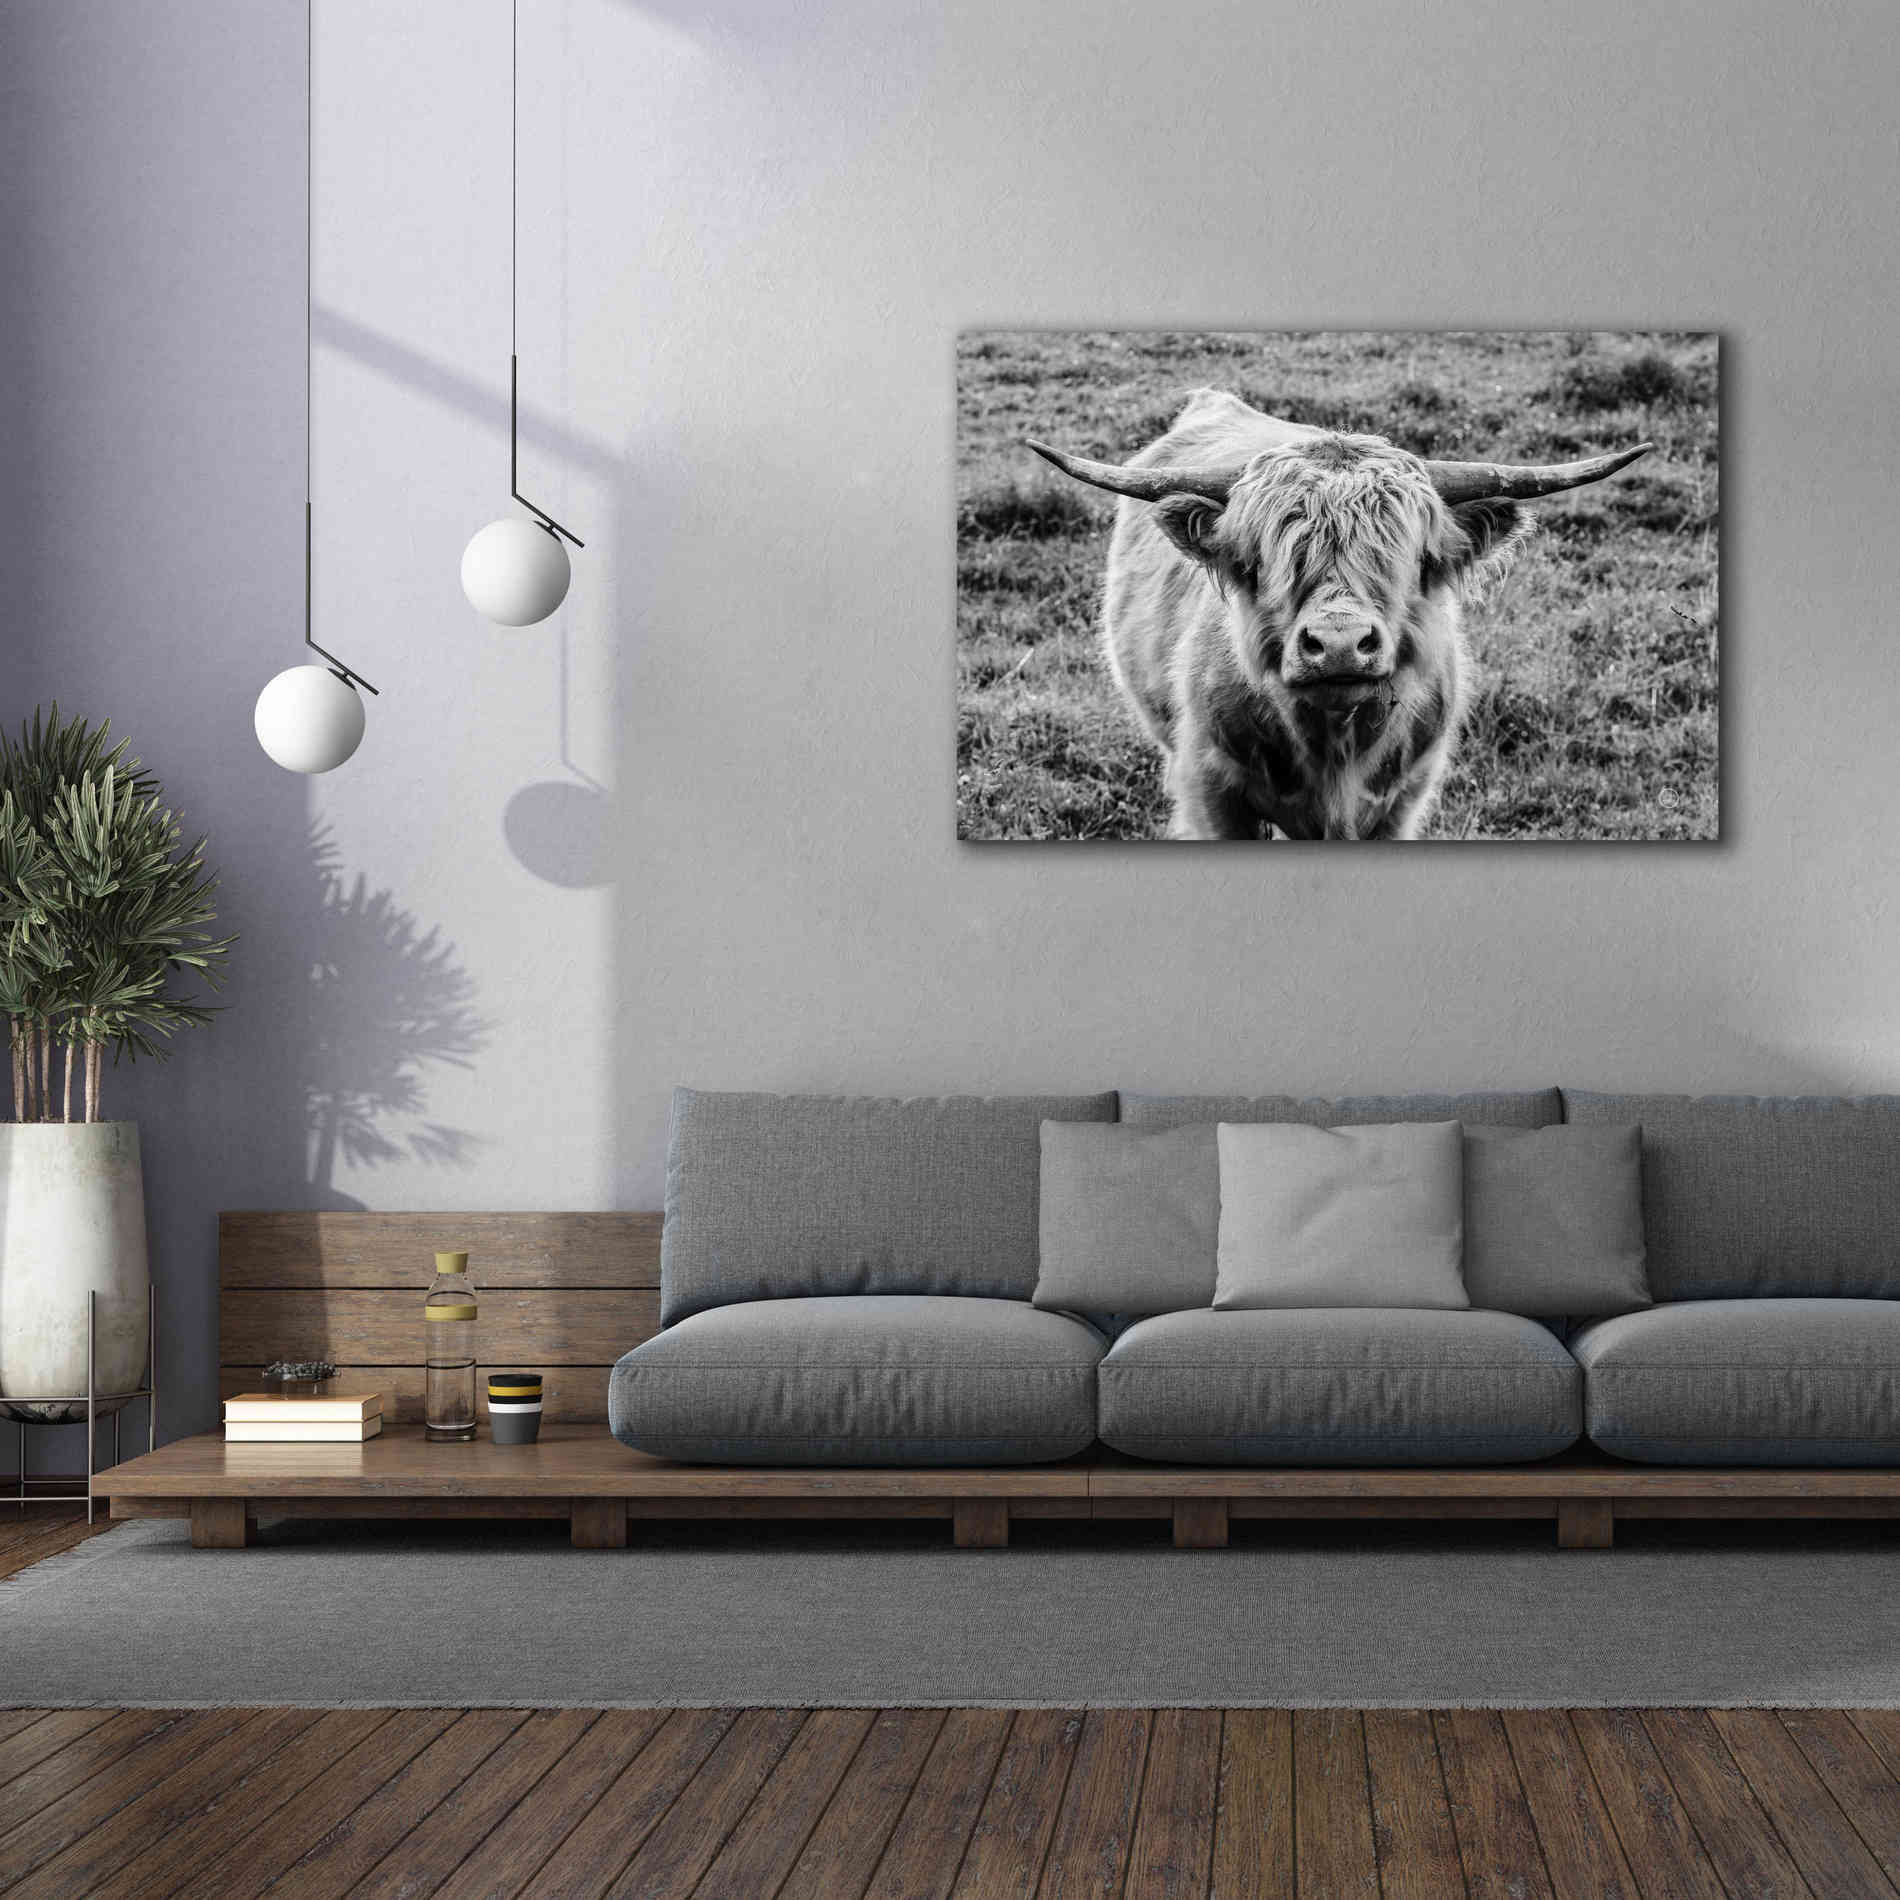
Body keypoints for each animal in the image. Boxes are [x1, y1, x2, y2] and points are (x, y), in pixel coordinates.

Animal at [1028, 390, 1650, 840]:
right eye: (1265, 559)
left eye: (1411, 558)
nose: (1340, 644)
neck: (1334, 748)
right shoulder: (1211, 791)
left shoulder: (1403, 800)